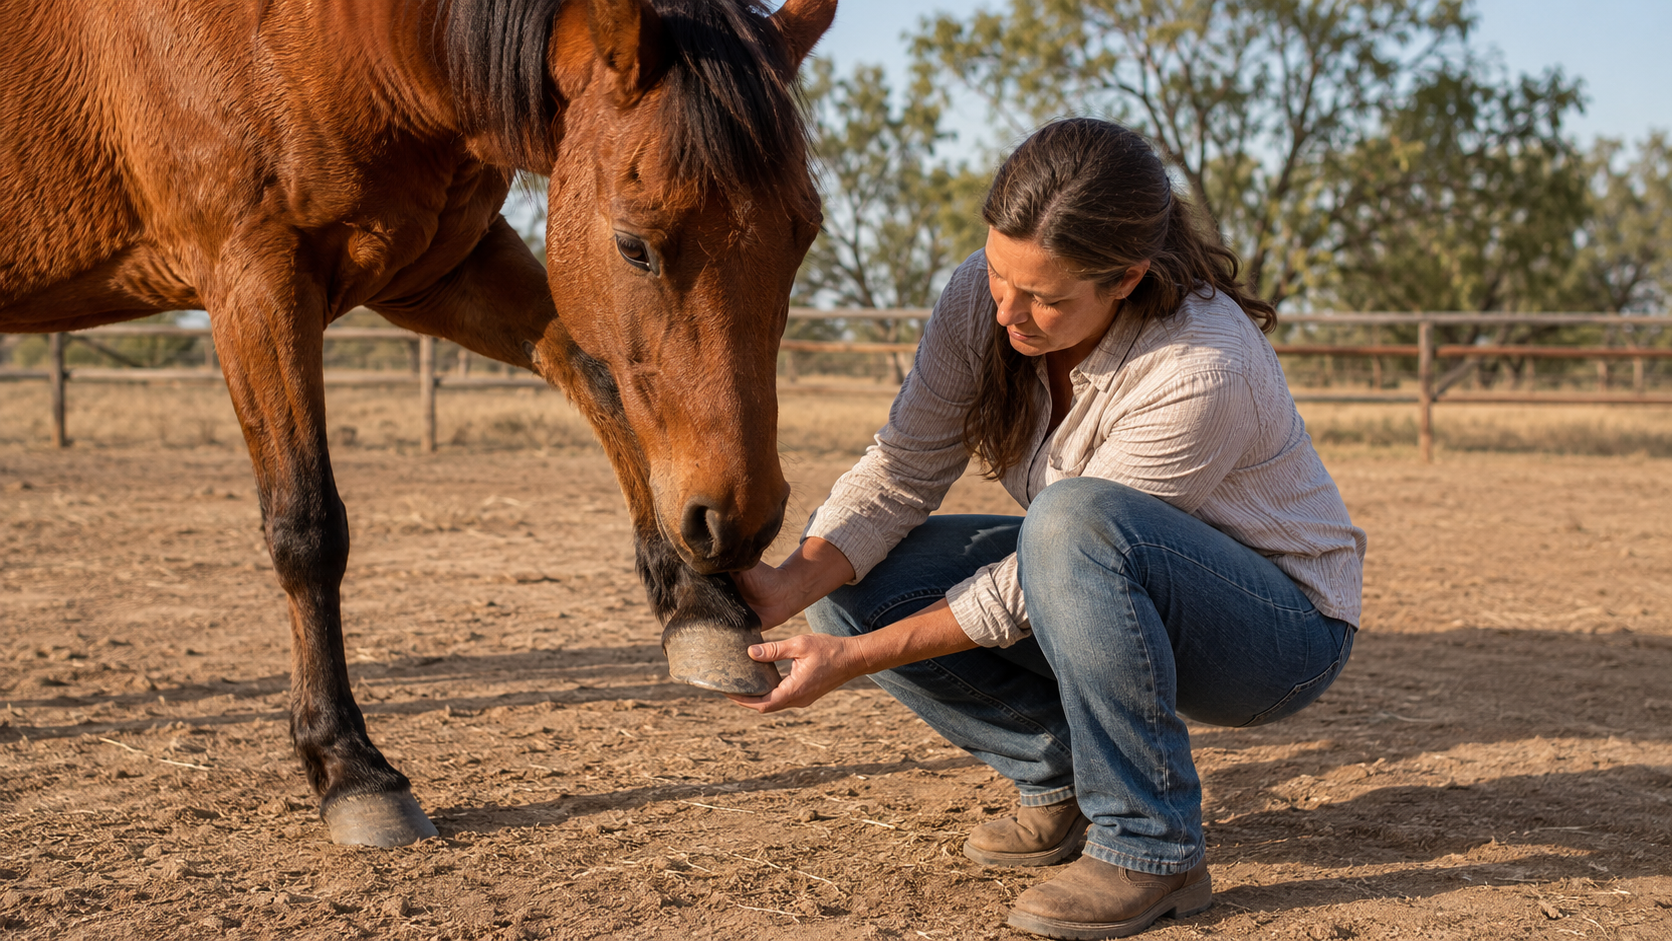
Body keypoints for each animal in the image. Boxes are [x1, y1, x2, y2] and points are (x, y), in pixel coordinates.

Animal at [0, 0, 835, 846]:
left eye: (803, 233)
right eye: (635, 245)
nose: (738, 522)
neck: (314, 36)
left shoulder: (437, 268)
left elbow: (596, 376)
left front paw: (704, 610)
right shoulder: (254, 276)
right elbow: (306, 528)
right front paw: (352, 769)